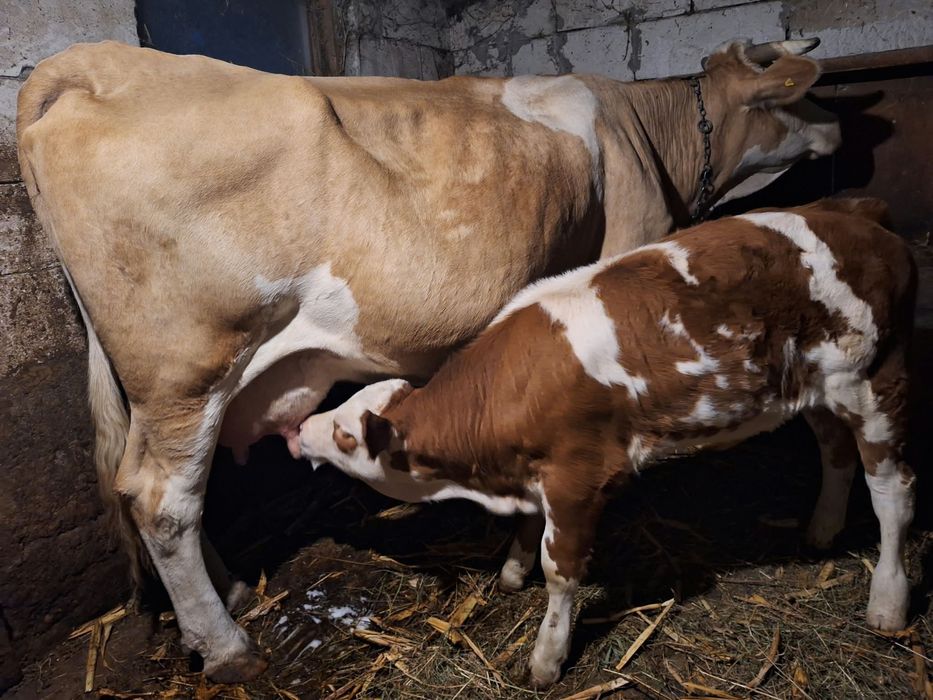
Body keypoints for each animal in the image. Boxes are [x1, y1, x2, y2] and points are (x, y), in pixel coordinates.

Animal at [17, 39, 839, 680]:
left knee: (154, 488)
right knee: (163, 500)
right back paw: (226, 648)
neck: (645, 130)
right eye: (802, 97)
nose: (837, 127)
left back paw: (230, 598)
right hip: (190, 367)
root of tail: (100, 61)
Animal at [298, 199, 917, 687]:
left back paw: (888, 602)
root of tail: (860, 215)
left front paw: (547, 657)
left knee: (893, 491)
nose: (298, 431)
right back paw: (823, 529)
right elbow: (530, 530)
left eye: (345, 435)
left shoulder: (580, 475)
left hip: (875, 381)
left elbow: (561, 569)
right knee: (835, 452)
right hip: (815, 392)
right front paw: (512, 573)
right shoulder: (539, 470)